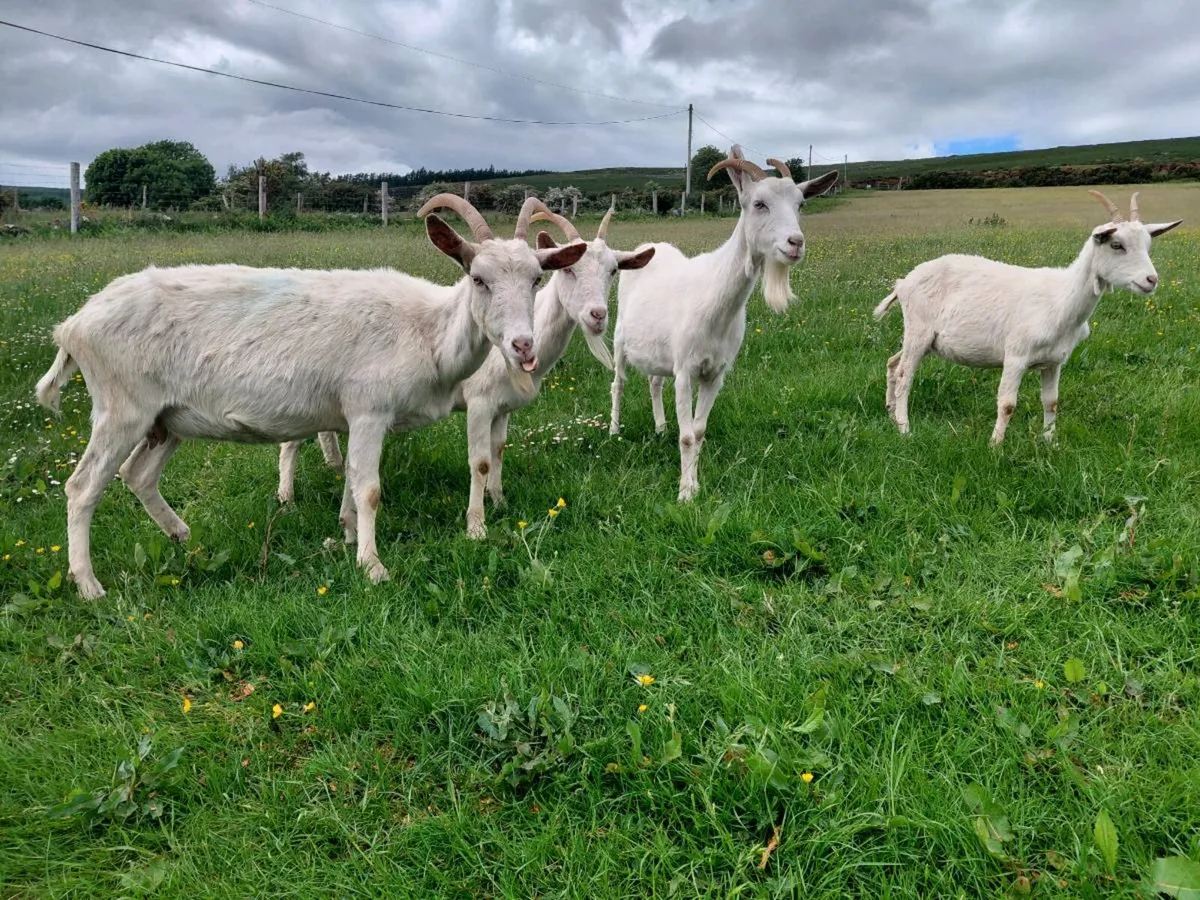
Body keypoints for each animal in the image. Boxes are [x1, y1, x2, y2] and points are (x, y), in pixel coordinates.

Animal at [35, 194, 585, 599]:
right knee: (82, 487)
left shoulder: (351, 416)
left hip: (167, 418)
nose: (523, 346)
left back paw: (181, 537)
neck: (426, 331)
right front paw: (373, 566)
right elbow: (370, 488)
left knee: (138, 475)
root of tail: (73, 325)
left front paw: (346, 534)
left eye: (537, 278)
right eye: (478, 278)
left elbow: (350, 481)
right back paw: (89, 585)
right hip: (121, 407)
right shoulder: (369, 409)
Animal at [608, 147, 837, 501]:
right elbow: (687, 435)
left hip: (658, 351)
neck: (715, 301)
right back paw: (614, 429)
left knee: (654, 382)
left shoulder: (715, 373)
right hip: (620, 337)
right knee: (618, 383)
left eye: (801, 204)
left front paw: (694, 483)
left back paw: (660, 427)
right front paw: (685, 494)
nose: (795, 243)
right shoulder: (685, 370)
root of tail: (649, 246)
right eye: (758, 204)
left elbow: (699, 430)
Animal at [874, 190, 1181, 444]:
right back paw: (904, 428)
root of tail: (903, 282)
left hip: (926, 339)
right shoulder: (1016, 355)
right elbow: (1007, 403)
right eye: (1116, 245)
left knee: (892, 362)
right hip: (919, 329)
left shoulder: (1054, 362)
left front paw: (1049, 443)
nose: (1151, 280)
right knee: (904, 374)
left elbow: (1051, 402)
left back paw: (890, 412)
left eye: (1148, 246)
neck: (1061, 299)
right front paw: (995, 446)